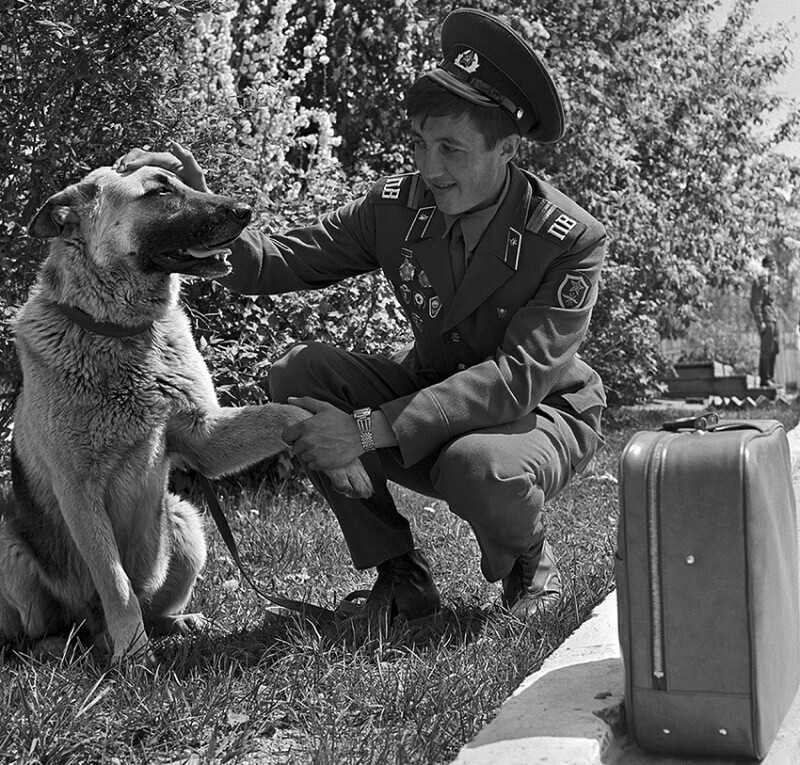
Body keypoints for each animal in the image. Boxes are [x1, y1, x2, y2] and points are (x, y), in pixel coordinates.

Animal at [0, 167, 374, 664]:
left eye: (180, 180)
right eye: (159, 191)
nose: (245, 210)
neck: (121, 334)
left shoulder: (204, 438)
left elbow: (285, 412)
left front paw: (344, 457)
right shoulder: (78, 490)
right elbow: (115, 583)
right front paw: (134, 655)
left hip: (184, 519)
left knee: (150, 608)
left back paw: (180, 623)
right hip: (8, 544)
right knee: (46, 631)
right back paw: (62, 645)